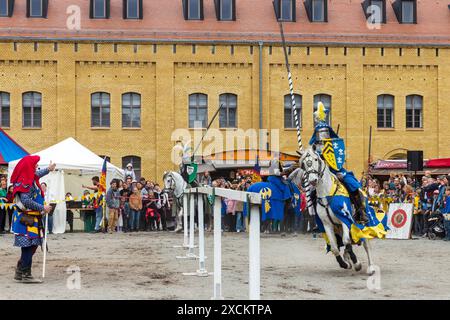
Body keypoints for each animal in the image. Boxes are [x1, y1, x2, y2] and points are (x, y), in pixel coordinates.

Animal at [292, 146, 386, 274]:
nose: (312, 180)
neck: (326, 193)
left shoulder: (344, 219)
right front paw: (344, 263)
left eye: (316, 159)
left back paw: (371, 267)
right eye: (304, 164)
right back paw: (347, 259)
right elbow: (335, 247)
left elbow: (346, 241)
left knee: (365, 244)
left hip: (361, 224)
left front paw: (357, 263)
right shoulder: (327, 224)